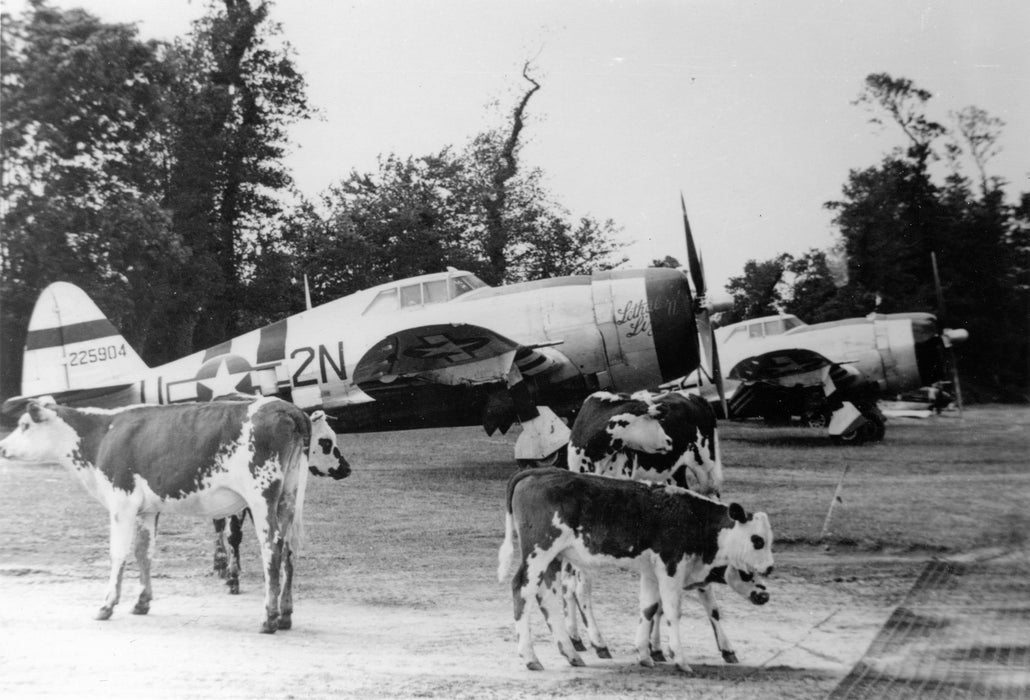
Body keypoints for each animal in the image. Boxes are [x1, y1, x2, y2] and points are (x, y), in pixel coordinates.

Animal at [0, 397, 313, 630]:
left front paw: (106, 605)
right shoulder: (147, 509)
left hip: (262, 496)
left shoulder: (122, 502)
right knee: (289, 548)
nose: (2, 447)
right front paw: (142, 601)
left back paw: (268, 618)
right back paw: (285, 615)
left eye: (24, 425)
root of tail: (285, 407)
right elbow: (143, 551)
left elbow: (118, 554)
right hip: (289, 497)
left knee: (271, 547)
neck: (102, 433)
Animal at [213, 409, 350, 597]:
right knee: (219, 525)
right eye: (326, 442)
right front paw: (233, 579)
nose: (347, 468)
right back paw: (220, 563)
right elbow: (234, 535)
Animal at [496, 469, 774, 671]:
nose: (770, 568)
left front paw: (645, 655)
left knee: (547, 597)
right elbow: (673, 611)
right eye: (757, 540)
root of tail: (537, 473)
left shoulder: (651, 572)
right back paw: (530, 657)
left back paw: (571, 653)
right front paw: (680, 660)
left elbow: (648, 609)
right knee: (521, 590)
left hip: (554, 558)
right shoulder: (671, 568)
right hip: (539, 552)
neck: (693, 517)